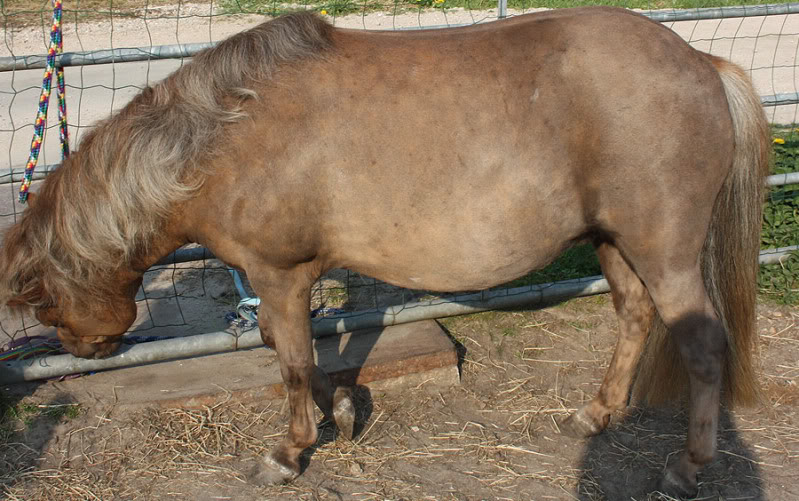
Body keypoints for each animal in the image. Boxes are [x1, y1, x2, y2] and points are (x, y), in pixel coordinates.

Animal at [3, 7, 772, 496]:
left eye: (41, 295)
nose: (85, 347)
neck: (224, 137)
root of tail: (700, 61)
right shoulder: (285, 280)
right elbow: (299, 355)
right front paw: (342, 411)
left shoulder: (278, 274)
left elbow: (289, 363)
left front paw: (288, 452)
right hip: (614, 243)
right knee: (634, 317)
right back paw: (597, 411)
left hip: (664, 250)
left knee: (704, 347)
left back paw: (687, 466)